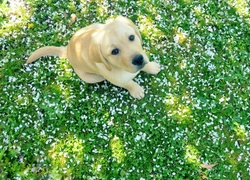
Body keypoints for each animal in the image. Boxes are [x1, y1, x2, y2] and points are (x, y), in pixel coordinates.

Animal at [26, 16, 160, 99]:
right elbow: (129, 83)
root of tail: (67, 49)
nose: (138, 59)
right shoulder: (119, 81)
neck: (120, 68)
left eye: (132, 37)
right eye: (114, 51)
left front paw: (151, 67)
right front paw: (136, 90)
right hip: (92, 78)